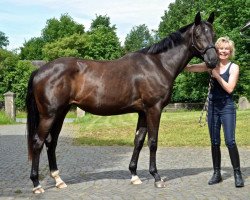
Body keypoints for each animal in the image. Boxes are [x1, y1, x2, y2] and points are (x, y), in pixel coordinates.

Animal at [26, 11, 217, 193]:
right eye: (198, 34)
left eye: (213, 34)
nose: (213, 60)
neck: (159, 64)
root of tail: (39, 71)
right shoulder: (154, 109)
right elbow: (152, 142)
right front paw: (156, 177)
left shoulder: (143, 112)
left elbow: (138, 141)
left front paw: (134, 175)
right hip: (49, 115)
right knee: (38, 143)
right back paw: (36, 184)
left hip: (60, 113)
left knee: (51, 142)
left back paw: (58, 180)